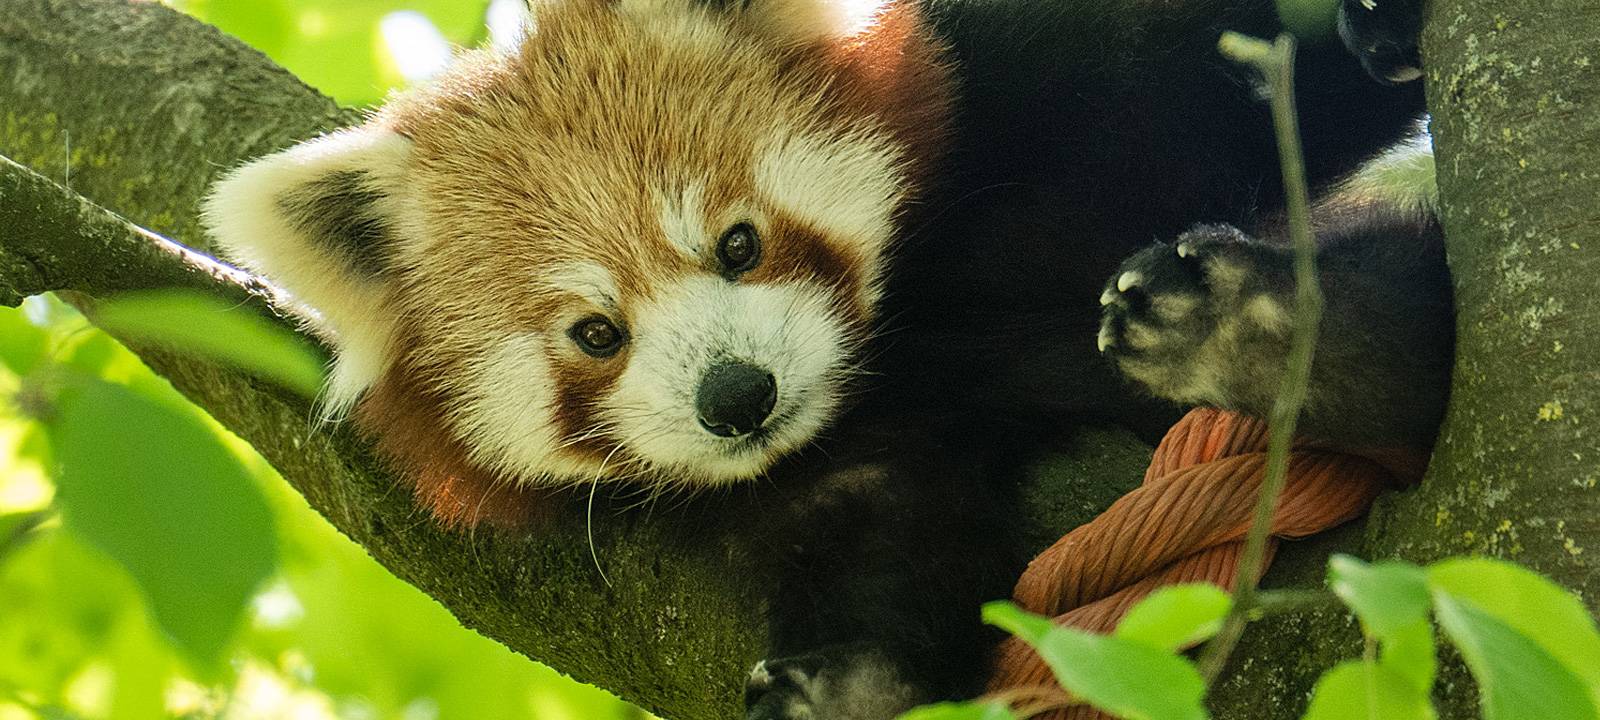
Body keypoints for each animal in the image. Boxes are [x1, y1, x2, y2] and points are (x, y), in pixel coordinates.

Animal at [201, 0, 1450, 716]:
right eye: (595, 333)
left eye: (738, 242)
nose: (736, 396)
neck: (896, 354)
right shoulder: (851, 460)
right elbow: (887, 549)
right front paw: (846, 682)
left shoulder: (1044, 96)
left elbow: (1231, 66)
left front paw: (1379, 25)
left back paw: (1277, 330)